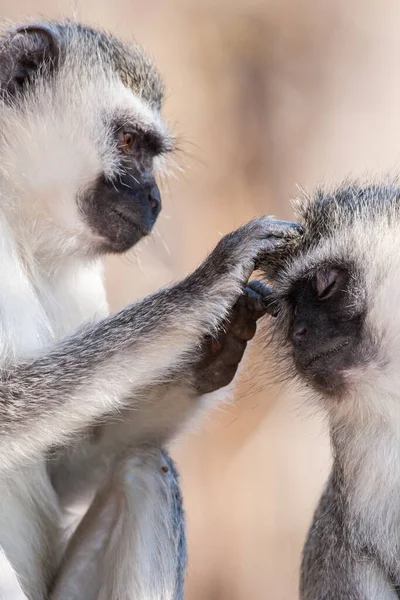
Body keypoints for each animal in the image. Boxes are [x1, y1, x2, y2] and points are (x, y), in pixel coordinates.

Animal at [0, 18, 298, 600]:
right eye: (128, 141)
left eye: (147, 150)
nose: (156, 200)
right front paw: (203, 287)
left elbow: (61, 467)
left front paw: (215, 346)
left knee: (146, 471)